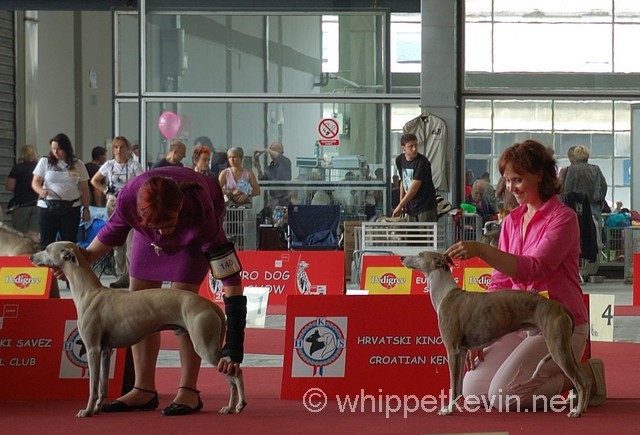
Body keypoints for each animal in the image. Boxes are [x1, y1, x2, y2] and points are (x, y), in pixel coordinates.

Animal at [31, 242, 248, 418]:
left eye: (47, 249)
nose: (31, 257)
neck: (89, 291)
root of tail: (211, 305)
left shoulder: (92, 349)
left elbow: (92, 386)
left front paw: (87, 411)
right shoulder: (106, 351)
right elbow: (102, 386)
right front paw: (98, 408)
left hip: (204, 345)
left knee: (235, 373)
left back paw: (239, 405)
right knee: (231, 375)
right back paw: (229, 407)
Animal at [402, 252, 592, 418]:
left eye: (419, 254)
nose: (402, 257)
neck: (444, 294)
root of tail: (562, 309)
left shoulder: (452, 350)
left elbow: (453, 386)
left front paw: (447, 410)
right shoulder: (461, 352)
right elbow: (459, 386)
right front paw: (454, 407)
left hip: (557, 348)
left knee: (580, 382)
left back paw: (576, 412)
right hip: (566, 348)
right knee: (584, 378)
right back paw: (582, 405)